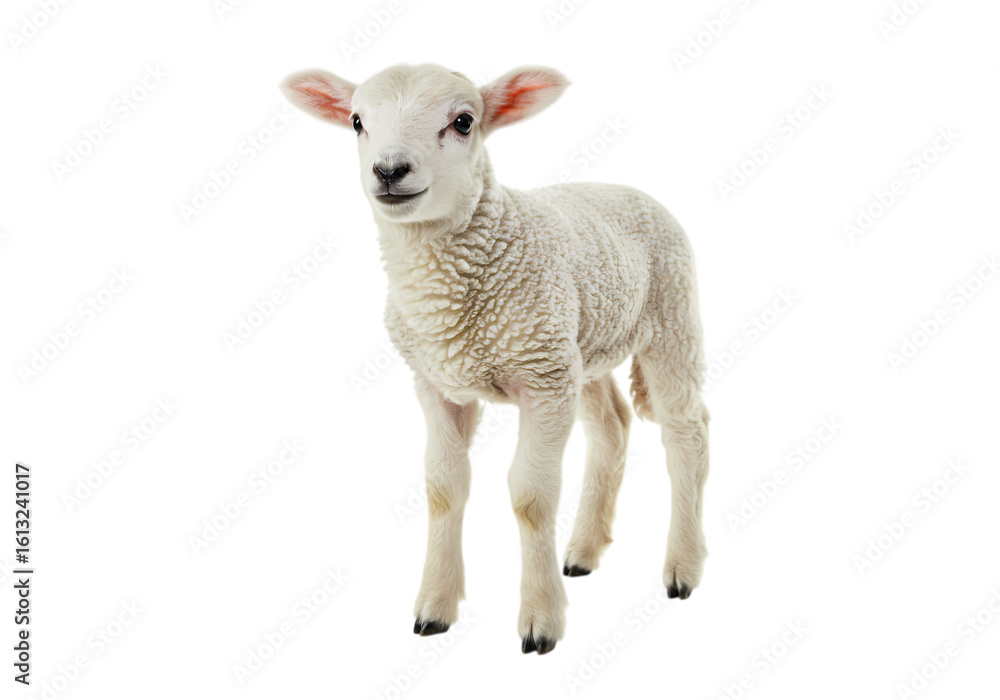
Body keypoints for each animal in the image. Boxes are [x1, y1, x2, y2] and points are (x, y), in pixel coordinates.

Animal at [280, 63, 710, 655]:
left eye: (464, 121)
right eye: (356, 121)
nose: (389, 170)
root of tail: (622, 186)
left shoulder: (542, 381)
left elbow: (531, 496)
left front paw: (541, 620)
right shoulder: (438, 382)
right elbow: (443, 487)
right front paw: (435, 607)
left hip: (670, 317)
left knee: (686, 433)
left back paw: (682, 568)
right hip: (581, 345)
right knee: (613, 426)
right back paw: (584, 551)